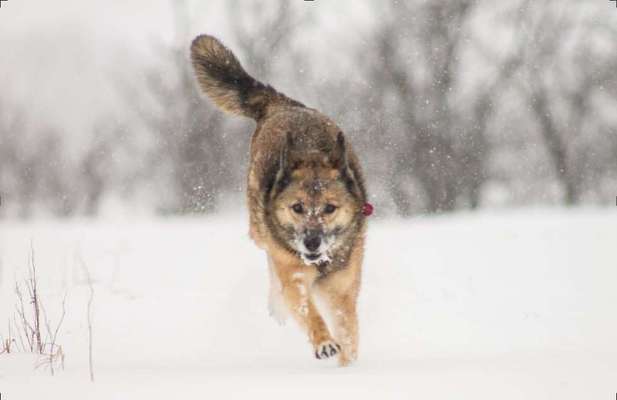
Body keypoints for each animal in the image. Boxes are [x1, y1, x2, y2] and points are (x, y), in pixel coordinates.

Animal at [190, 34, 368, 366]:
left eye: (330, 208)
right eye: (297, 208)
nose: (311, 243)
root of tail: (283, 105)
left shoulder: (341, 288)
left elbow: (348, 330)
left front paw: (348, 366)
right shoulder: (293, 274)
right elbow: (308, 311)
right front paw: (324, 342)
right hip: (259, 230)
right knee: (272, 269)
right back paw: (277, 307)